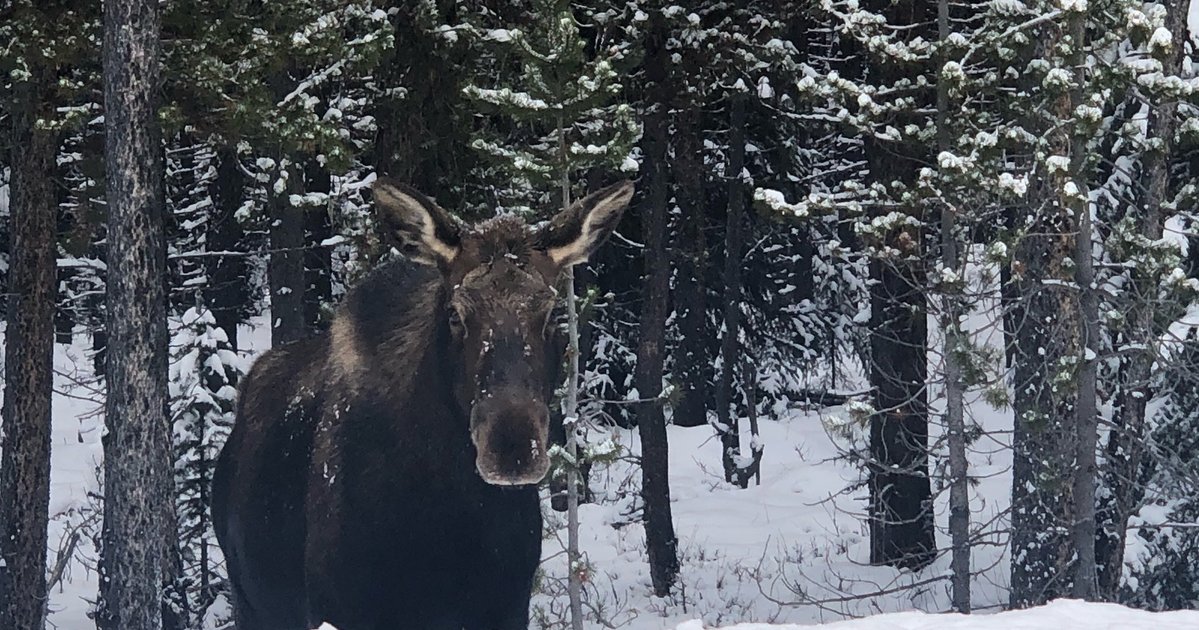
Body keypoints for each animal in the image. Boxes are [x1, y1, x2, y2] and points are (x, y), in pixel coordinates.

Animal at [213, 176, 637, 628]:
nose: (513, 447)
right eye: (455, 314)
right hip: (251, 601)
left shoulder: (506, 606)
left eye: (554, 314)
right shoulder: (339, 607)